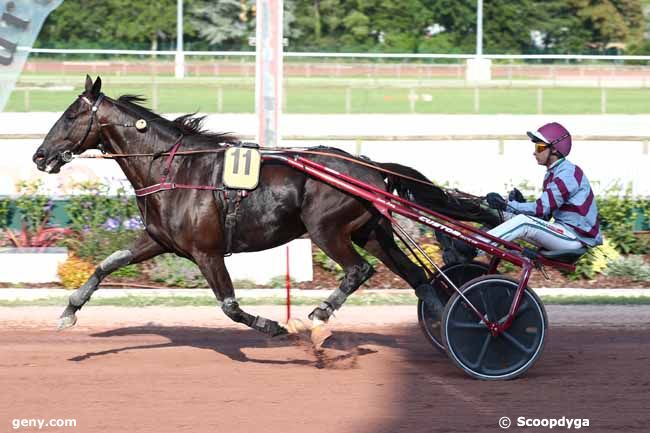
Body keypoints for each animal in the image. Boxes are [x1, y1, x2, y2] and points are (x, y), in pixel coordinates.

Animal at [31, 74, 496, 342]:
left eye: (70, 115)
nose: (40, 156)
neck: (174, 168)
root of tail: (370, 167)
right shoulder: (159, 241)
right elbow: (107, 263)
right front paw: (70, 311)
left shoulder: (207, 252)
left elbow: (230, 306)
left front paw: (275, 325)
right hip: (372, 231)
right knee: (416, 276)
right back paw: (448, 324)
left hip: (327, 229)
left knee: (358, 271)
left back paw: (318, 315)